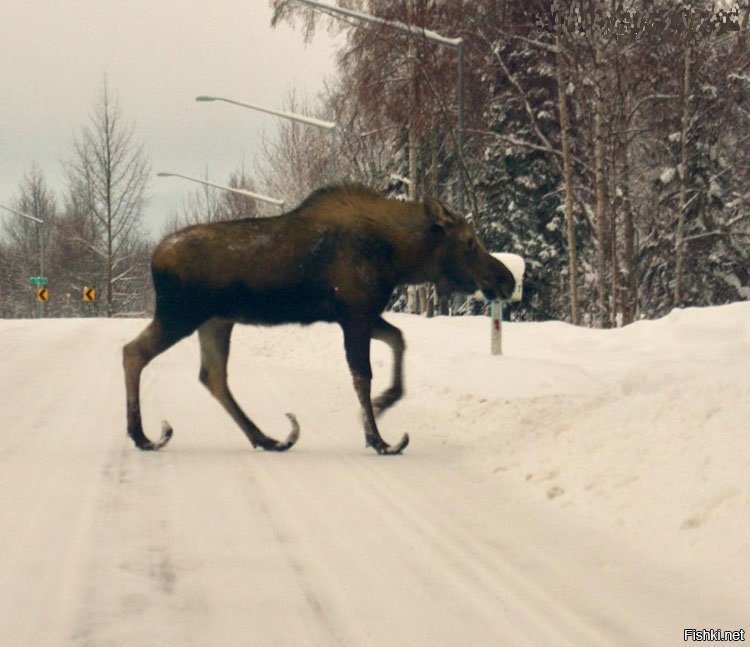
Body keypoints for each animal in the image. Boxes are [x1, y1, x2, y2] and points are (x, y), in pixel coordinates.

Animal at [123, 182, 516, 456]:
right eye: (468, 241)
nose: (507, 280)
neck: (398, 259)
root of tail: (154, 258)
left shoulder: (362, 314)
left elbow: (399, 340)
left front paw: (385, 402)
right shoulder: (355, 314)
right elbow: (362, 375)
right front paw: (380, 440)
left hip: (216, 320)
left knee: (212, 375)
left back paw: (267, 438)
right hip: (181, 315)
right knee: (134, 352)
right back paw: (144, 436)